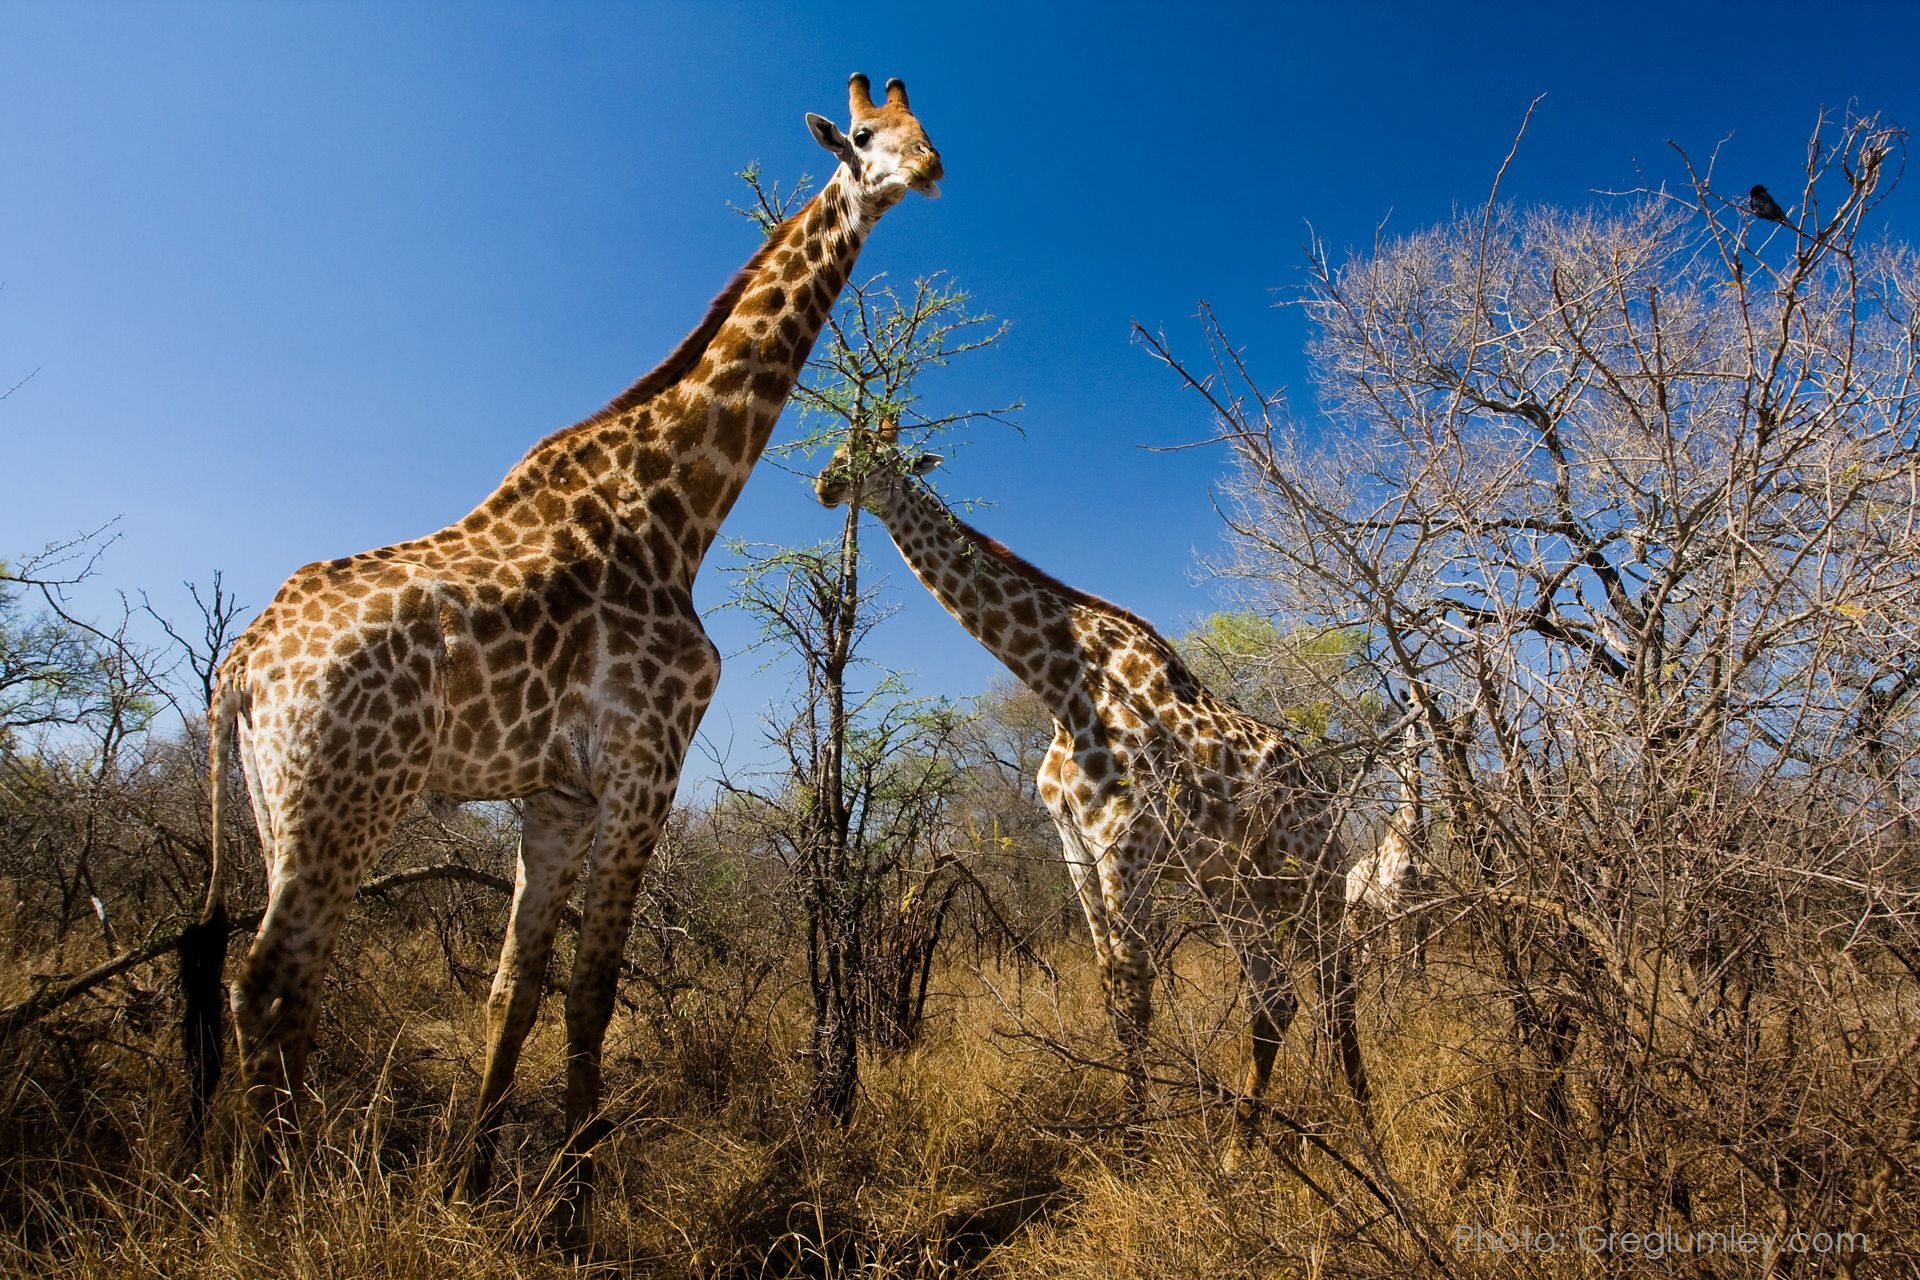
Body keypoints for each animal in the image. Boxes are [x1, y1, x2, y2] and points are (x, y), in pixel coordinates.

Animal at [182, 75, 942, 1246]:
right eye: (863, 137)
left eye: (922, 125)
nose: (928, 168)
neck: (679, 508)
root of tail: (246, 661)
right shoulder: (645, 760)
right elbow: (595, 993)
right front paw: (576, 1211)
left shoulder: (559, 795)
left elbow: (514, 989)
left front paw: (473, 1184)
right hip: (345, 796)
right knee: (266, 980)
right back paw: (274, 1204)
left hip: (278, 804)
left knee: (284, 979)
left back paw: (283, 1178)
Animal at [813, 424, 1369, 1145]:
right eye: (837, 446)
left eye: (876, 457)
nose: (825, 485)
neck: (1063, 689)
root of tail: (1321, 783)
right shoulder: (1077, 846)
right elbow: (1110, 992)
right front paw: (1134, 1133)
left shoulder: (1125, 847)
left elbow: (1134, 997)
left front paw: (1138, 1147)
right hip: (1237, 885)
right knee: (1277, 995)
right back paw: (1240, 1151)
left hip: (1312, 876)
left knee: (1339, 985)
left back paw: (1365, 1128)